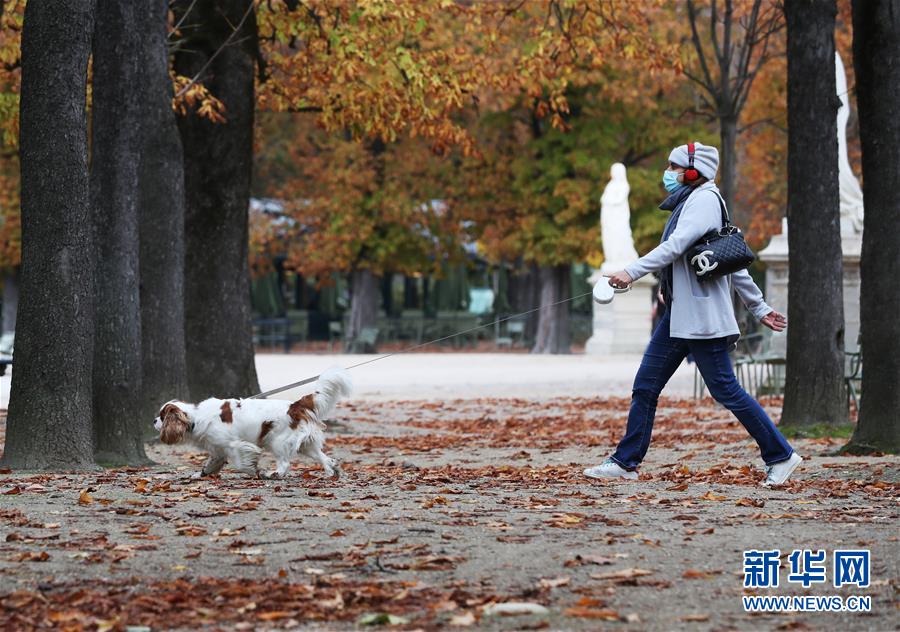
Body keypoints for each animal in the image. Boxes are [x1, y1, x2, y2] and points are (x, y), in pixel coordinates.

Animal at [153, 366, 354, 478]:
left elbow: (241, 463)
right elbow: (209, 465)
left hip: (278, 442)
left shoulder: (234, 445)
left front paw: (253, 471)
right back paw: (332, 471)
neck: (195, 417)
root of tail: (295, 406)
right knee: (325, 457)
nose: (154, 420)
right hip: (306, 444)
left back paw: (274, 474)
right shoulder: (217, 450)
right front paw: (199, 475)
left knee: (284, 463)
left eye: (162, 416)